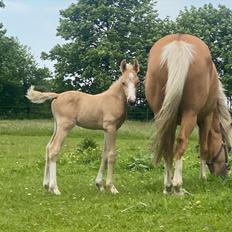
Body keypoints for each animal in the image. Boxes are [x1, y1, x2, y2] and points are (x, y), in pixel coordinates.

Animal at [26, 59, 140, 194]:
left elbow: (104, 154)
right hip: (65, 126)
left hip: (57, 126)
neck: (114, 98)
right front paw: (111, 187)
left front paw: (99, 185)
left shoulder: (106, 130)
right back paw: (55, 188)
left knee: (48, 147)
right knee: (54, 149)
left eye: (137, 82)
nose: (132, 101)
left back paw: (46, 185)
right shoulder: (111, 128)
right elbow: (111, 155)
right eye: (123, 82)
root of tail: (57, 95)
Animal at [145, 33, 230, 195]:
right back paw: (178, 186)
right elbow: (203, 148)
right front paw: (203, 177)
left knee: (167, 146)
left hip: (161, 114)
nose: (224, 175)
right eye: (228, 148)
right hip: (190, 114)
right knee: (181, 142)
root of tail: (179, 43)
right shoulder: (205, 119)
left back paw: (168, 186)